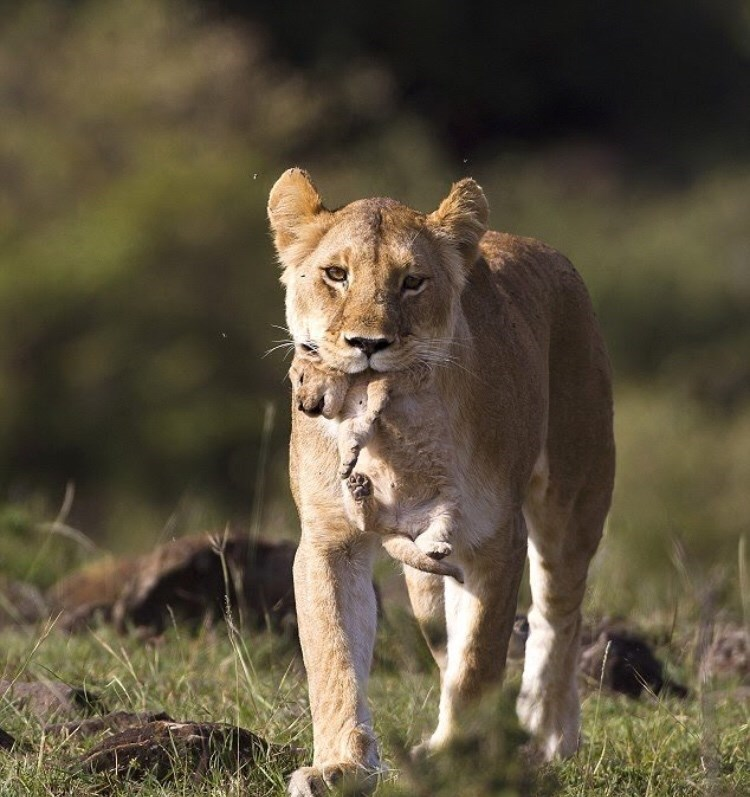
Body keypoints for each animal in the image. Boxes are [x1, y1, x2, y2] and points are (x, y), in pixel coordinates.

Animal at [288, 354, 464, 583]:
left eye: (301, 378)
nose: (299, 405)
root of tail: (398, 526)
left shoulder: (415, 374)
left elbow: (381, 383)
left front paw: (376, 400)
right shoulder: (355, 418)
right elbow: (353, 433)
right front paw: (346, 462)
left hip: (447, 508)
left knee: (426, 540)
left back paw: (437, 549)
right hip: (360, 508)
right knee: (365, 522)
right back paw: (359, 489)